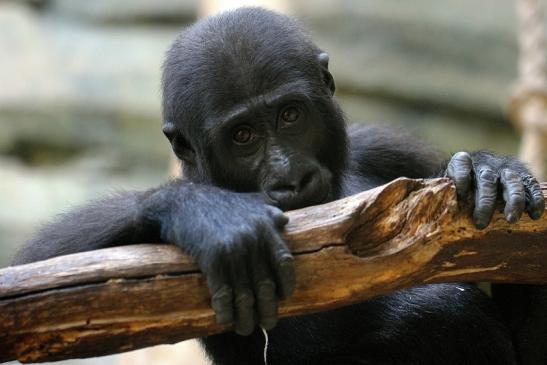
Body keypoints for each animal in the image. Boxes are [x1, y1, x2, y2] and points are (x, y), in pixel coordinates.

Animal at [13, 5, 547, 364]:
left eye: (290, 115)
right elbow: (41, 282)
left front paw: (492, 168)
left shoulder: (382, 145)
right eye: (243, 136)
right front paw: (208, 214)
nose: (292, 176)